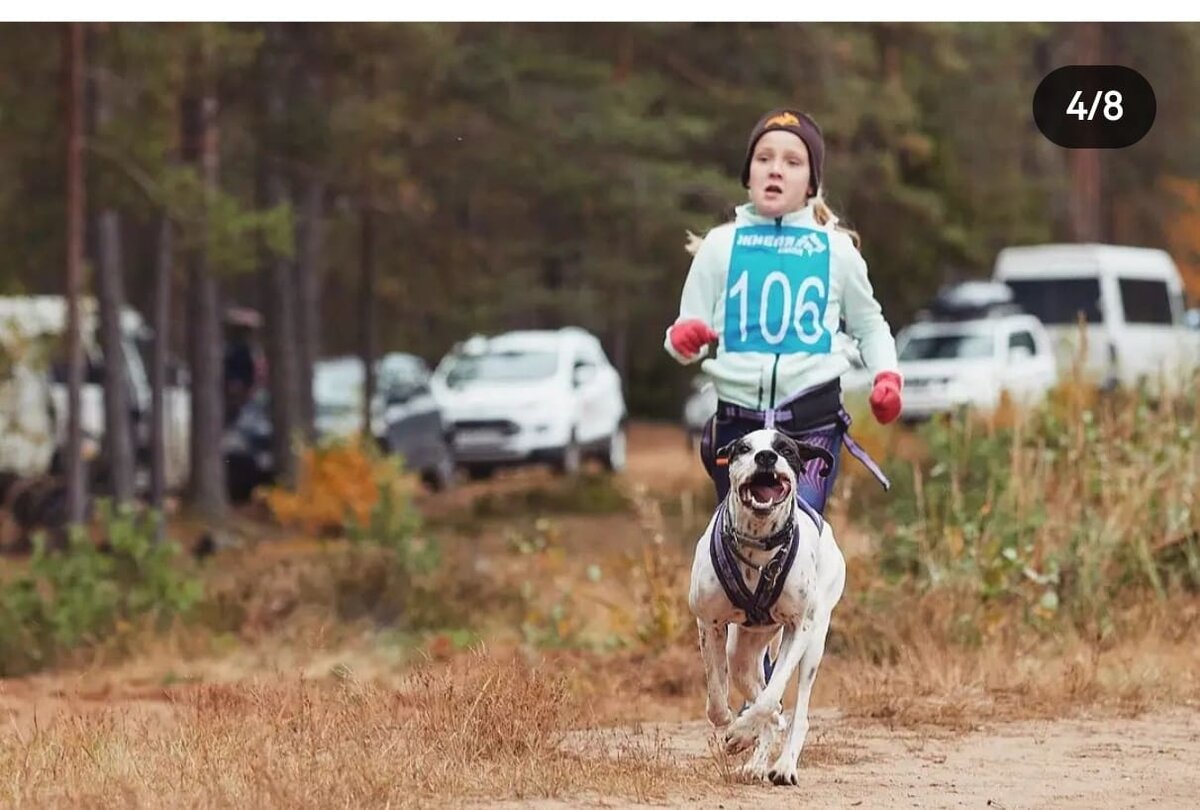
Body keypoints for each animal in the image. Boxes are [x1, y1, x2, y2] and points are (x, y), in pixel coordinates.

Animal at [691, 427, 849, 787]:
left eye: (786, 449)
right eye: (743, 448)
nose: (766, 456)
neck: (758, 545)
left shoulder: (799, 627)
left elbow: (770, 695)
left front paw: (741, 733)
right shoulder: (709, 623)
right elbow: (717, 701)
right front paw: (738, 730)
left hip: (814, 644)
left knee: (796, 712)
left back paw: (784, 765)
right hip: (741, 651)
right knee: (755, 690)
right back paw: (756, 760)